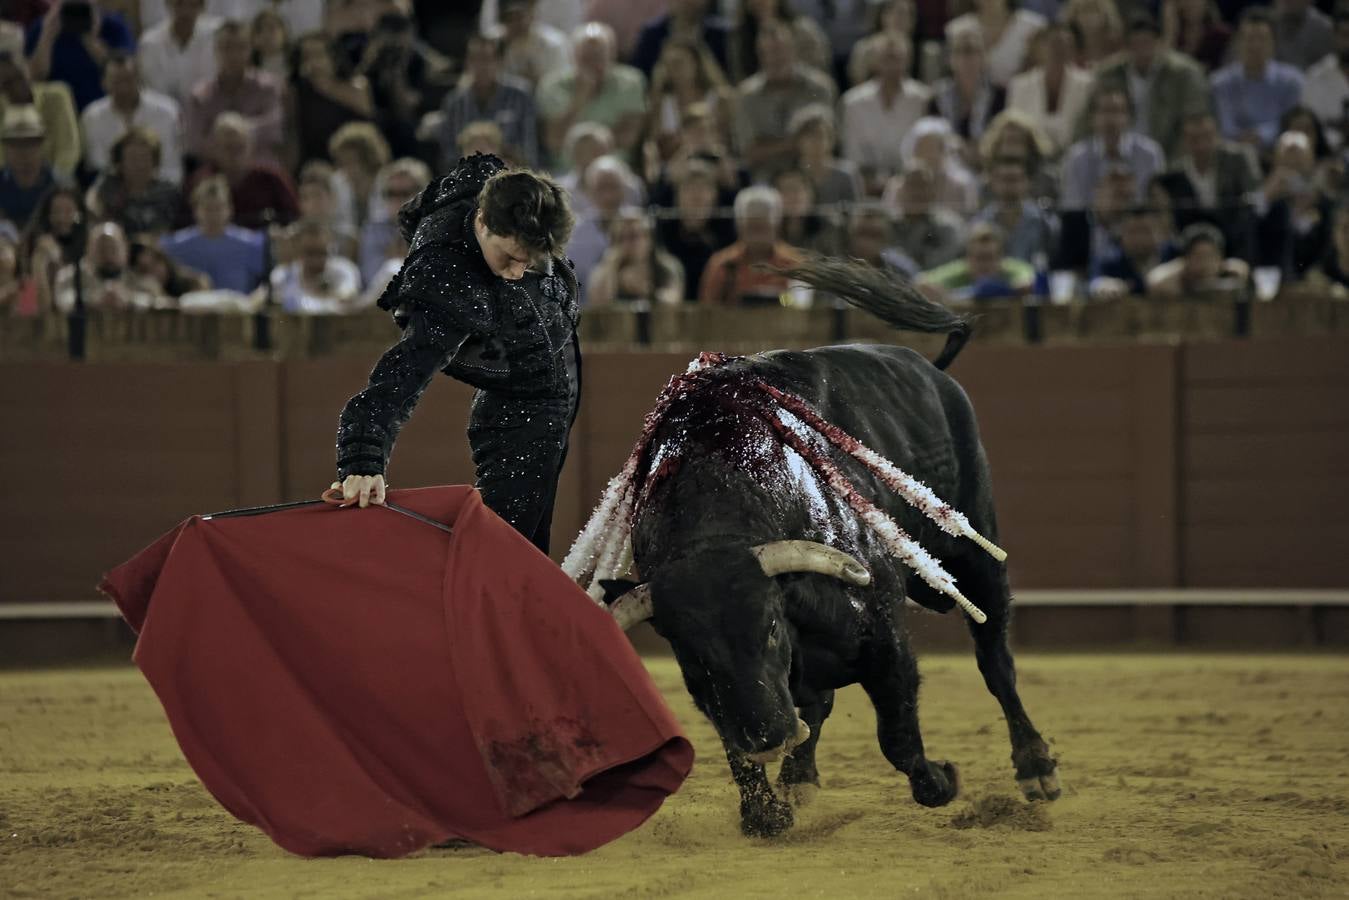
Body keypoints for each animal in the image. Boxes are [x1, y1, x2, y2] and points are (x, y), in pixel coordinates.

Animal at [607, 259, 1057, 836]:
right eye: (690, 653)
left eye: (770, 628)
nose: (770, 737)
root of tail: (932, 371)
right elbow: (740, 744)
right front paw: (766, 810)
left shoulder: (884, 637)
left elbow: (897, 735)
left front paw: (943, 780)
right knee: (817, 701)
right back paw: (799, 777)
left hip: (974, 551)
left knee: (995, 657)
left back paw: (1036, 768)